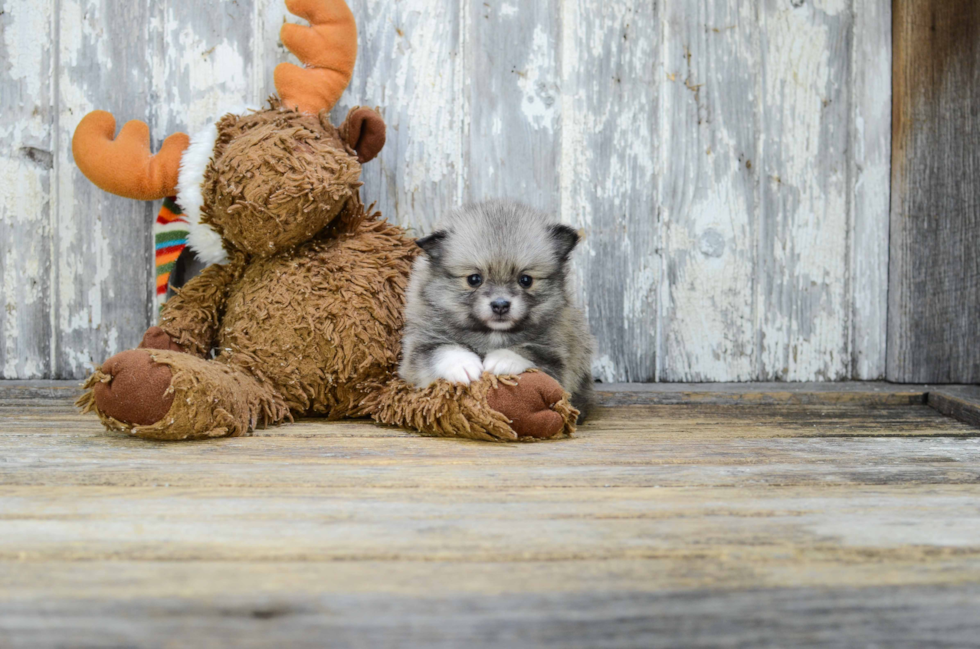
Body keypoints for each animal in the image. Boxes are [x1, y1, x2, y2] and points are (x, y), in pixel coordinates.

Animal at [398, 199, 596, 420]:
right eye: (474, 279)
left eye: (525, 280)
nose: (500, 305)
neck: (492, 334)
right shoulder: (418, 348)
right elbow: (441, 350)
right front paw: (463, 365)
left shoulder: (558, 359)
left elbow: (529, 351)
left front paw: (503, 359)